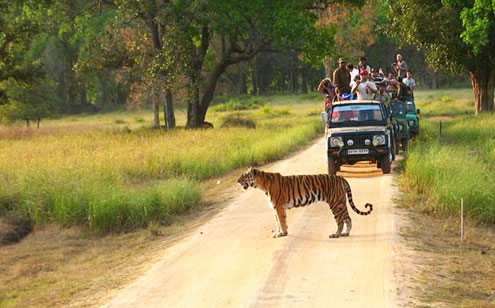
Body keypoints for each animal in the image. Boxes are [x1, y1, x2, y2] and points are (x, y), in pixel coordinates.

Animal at [236, 168, 372, 238]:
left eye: (244, 175)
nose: (237, 181)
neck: (261, 185)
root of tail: (341, 178)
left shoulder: (278, 207)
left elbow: (281, 221)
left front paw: (283, 233)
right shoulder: (275, 208)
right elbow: (277, 222)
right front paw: (278, 232)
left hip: (335, 203)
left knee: (340, 221)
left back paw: (336, 234)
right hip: (341, 202)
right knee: (348, 219)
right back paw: (345, 233)